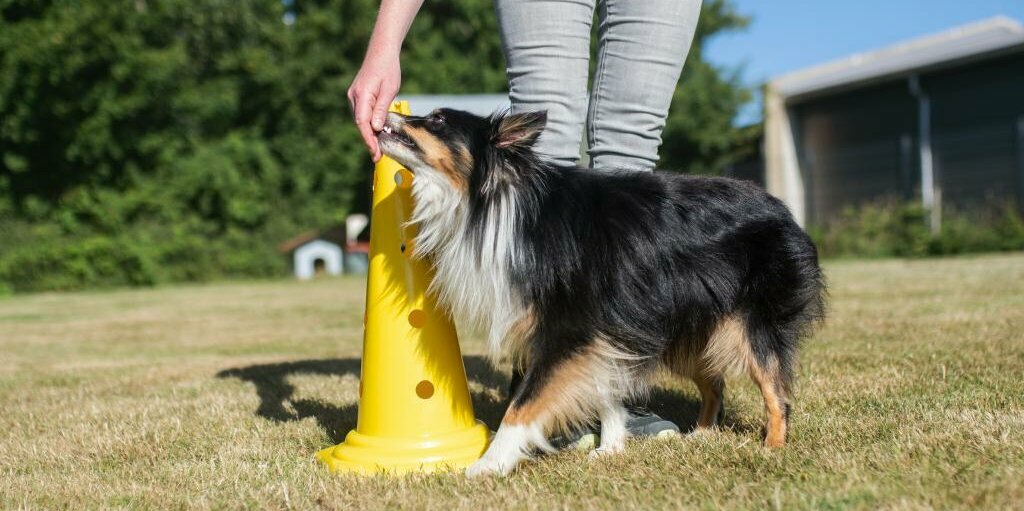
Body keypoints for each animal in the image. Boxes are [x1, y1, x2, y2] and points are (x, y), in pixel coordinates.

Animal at [376, 105, 823, 477]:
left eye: (437, 120)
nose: (387, 114)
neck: (493, 200)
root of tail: (783, 210)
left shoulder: (570, 331)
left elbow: (522, 406)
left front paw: (489, 464)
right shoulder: (605, 333)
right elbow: (604, 389)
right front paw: (610, 448)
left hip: (751, 325)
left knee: (776, 390)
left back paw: (772, 449)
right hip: (685, 332)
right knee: (715, 383)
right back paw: (699, 436)